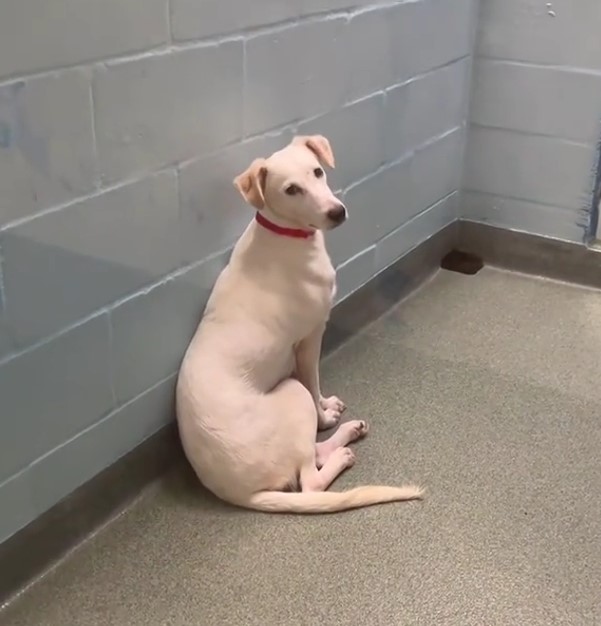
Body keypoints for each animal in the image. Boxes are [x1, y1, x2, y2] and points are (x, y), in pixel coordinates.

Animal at [176, 134, 422, 510]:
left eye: (318, 171)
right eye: (291, 189)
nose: (337, 211)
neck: (285, 234)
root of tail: (240, 493)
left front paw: (329, 406)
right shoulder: (309, 338)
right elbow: (313, 382)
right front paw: (324, 413)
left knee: (314, 456)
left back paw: (349, 432)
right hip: (291, 395)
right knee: (310, 480)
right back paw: (341, 450)